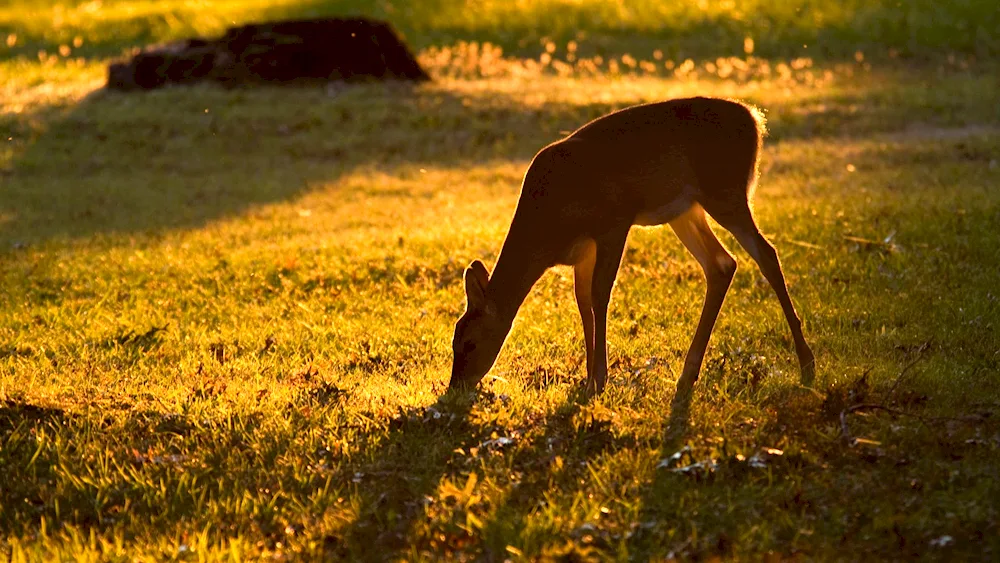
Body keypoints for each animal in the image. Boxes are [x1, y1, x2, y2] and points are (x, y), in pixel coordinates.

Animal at [450, 98, 816, 406]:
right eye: (454, 341)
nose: (455, 388)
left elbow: (600, 295)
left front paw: (598, 380)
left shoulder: (614, 222)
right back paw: (688, 376)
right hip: (686, 210)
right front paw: (587, 379)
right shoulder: (583, 252)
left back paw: (807, 364)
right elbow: (582, 301)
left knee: (766, 254)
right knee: (722, 264)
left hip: (725, 191)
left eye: (469, 343)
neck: (547, 231)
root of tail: (754, 119)